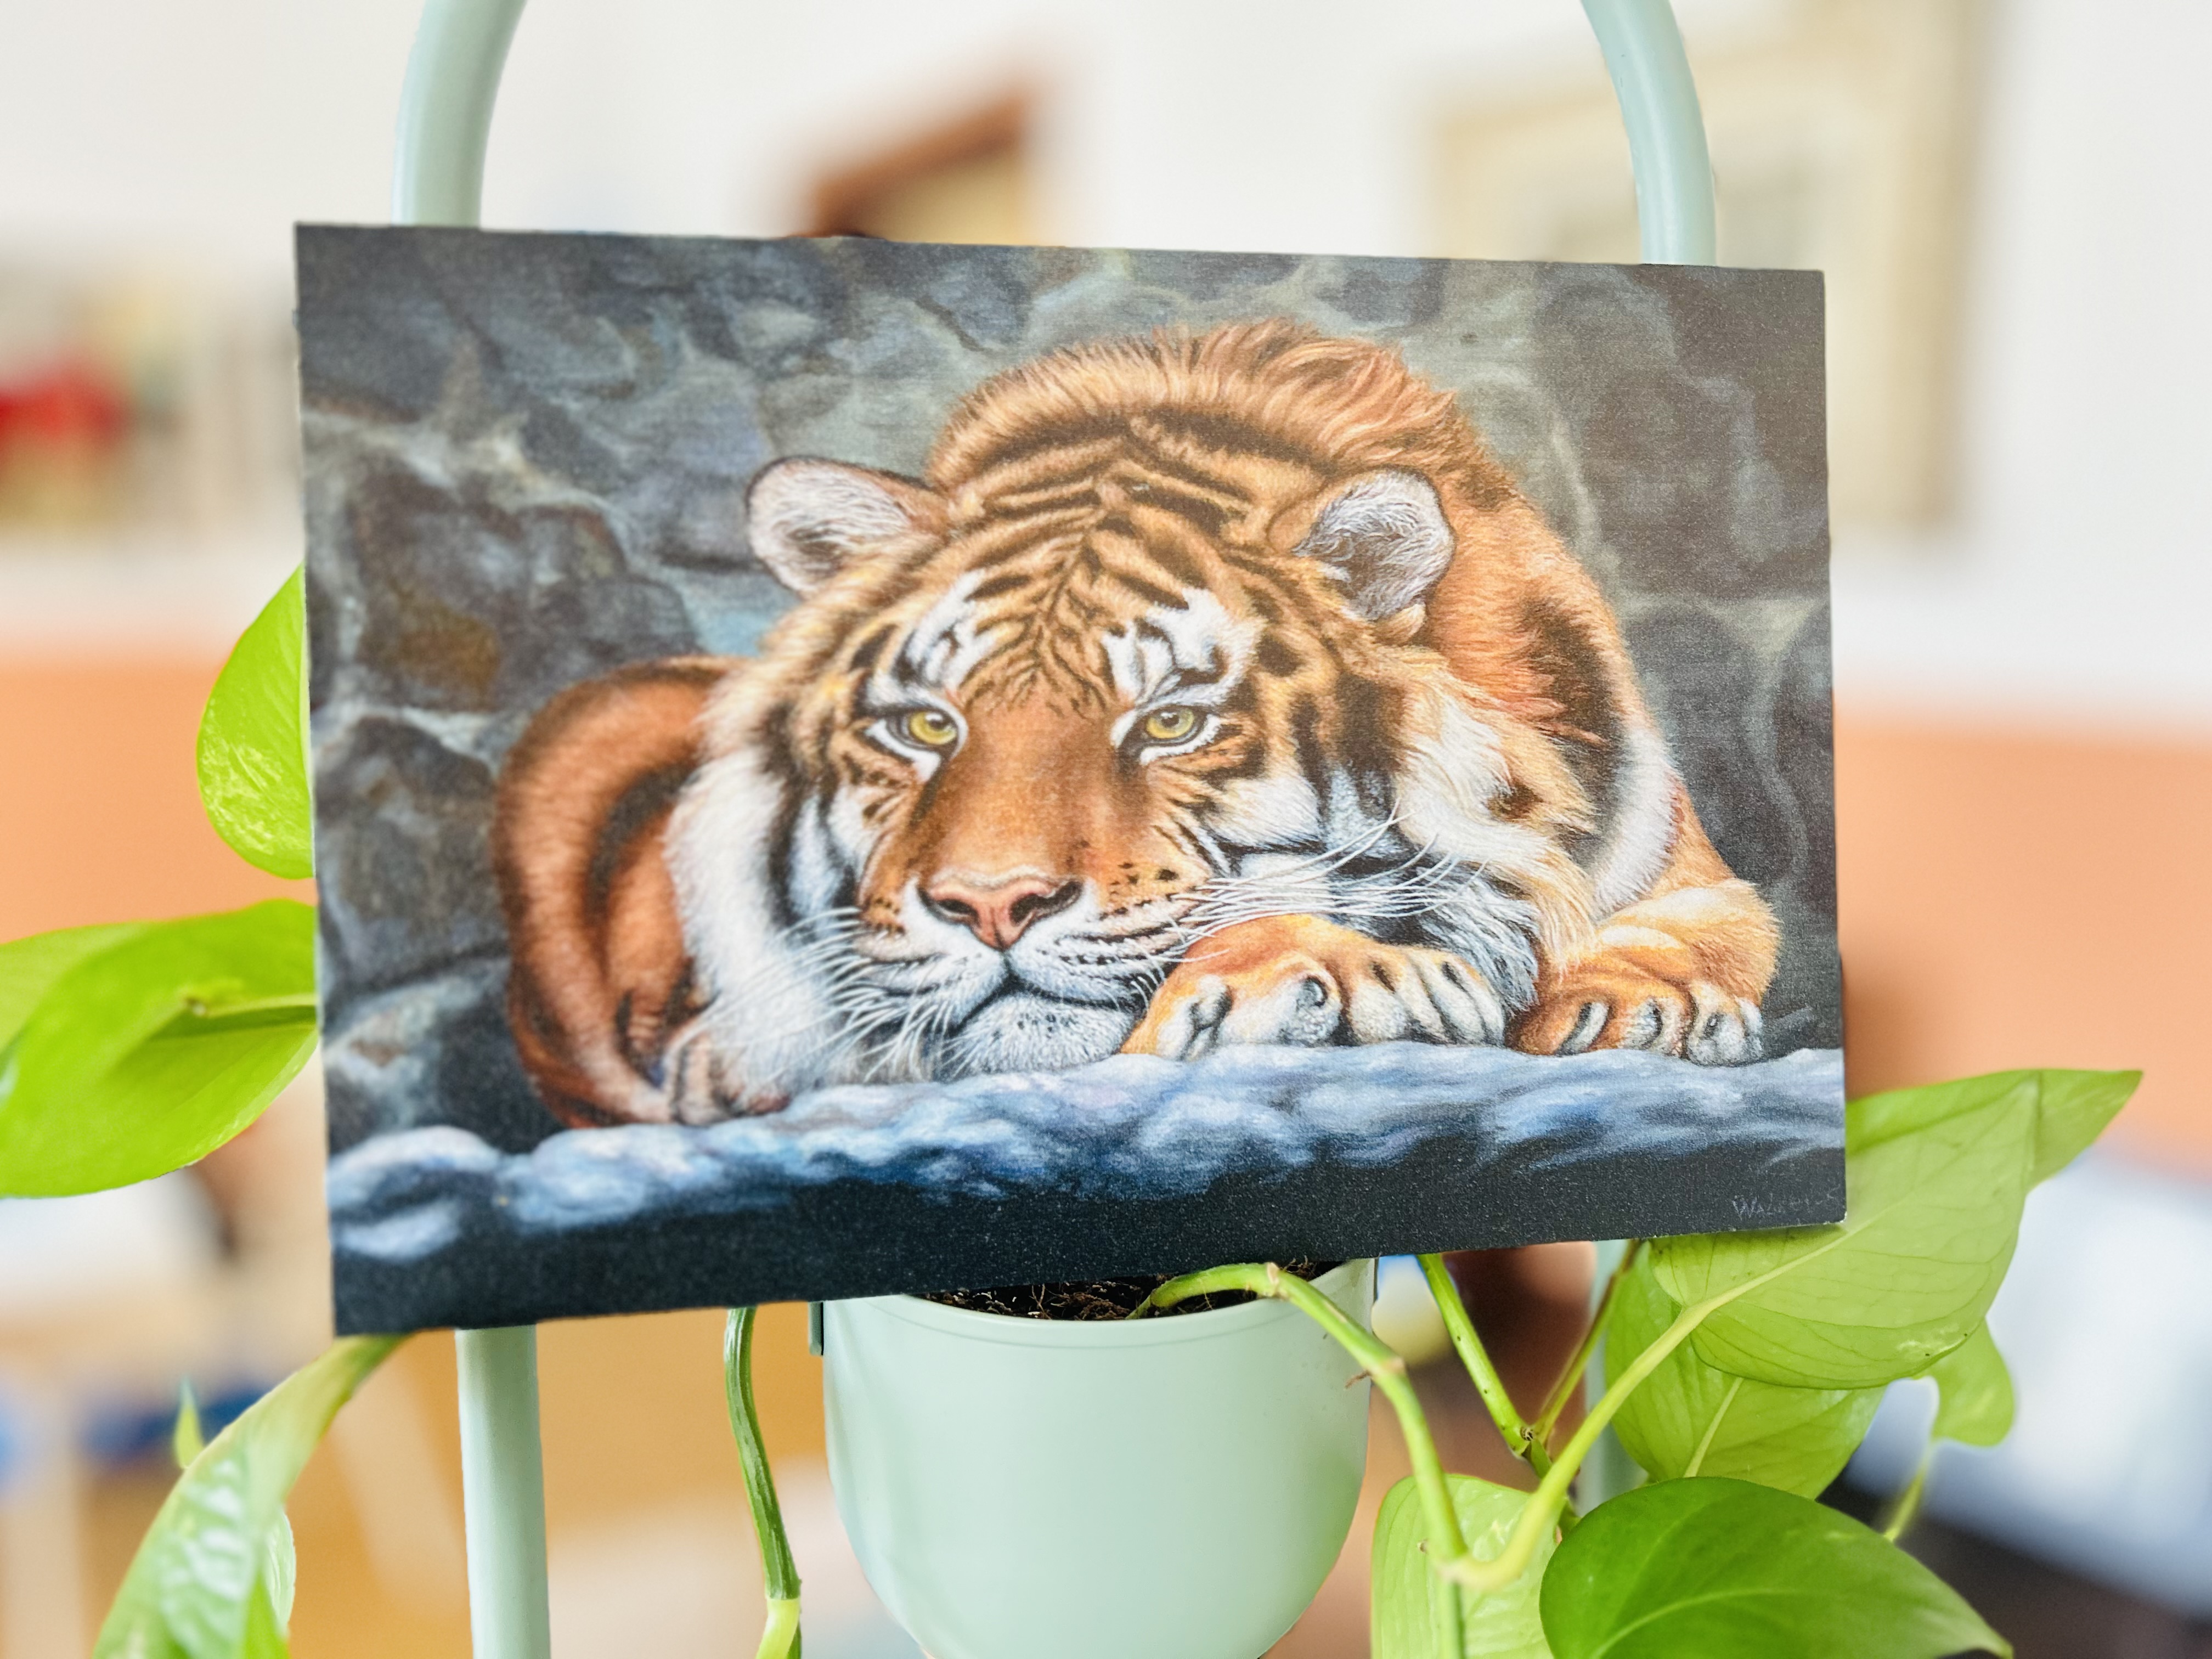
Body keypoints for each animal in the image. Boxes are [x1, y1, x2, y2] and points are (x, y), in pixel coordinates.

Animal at [491, 320, 1778, 1127]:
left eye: (1169, 725)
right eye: (927, 728)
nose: (992, 906)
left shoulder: (1687, 868)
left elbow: (1697, 928)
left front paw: (1640, 1002)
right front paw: (1352, 973)